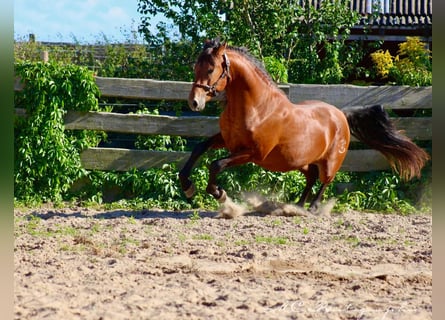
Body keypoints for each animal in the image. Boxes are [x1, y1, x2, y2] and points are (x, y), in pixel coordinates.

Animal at [179, 39, 428, 210]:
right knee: (311, 177)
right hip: (301, 161)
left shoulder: (253, 153)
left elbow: (216, 165)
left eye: (211, 69)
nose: (194, 102)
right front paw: (187, 186)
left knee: (325, 180)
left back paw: (313, 207)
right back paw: (297, 206)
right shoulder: (226, 140)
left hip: (329, 161)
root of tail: (340, 114)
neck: (257, 108)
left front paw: (219, 193)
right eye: (195, 68)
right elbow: (198, 148)